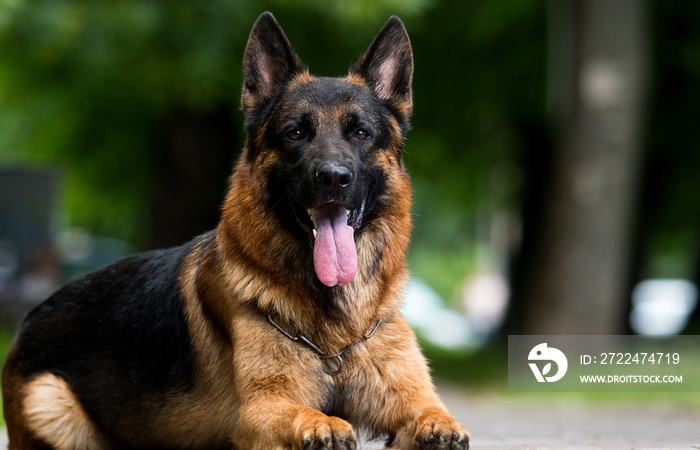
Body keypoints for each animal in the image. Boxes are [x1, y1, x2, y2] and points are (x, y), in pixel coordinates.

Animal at [2, 12, 470, 448]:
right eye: (295, 133)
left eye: (360, 133)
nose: (333, 178)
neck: (334, 338)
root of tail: (27, 321)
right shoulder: (261, 410)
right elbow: (306, 413)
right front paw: (325, 423)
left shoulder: (409, 395)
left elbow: (433, 412)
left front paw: (439, 425)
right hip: (50, 400)